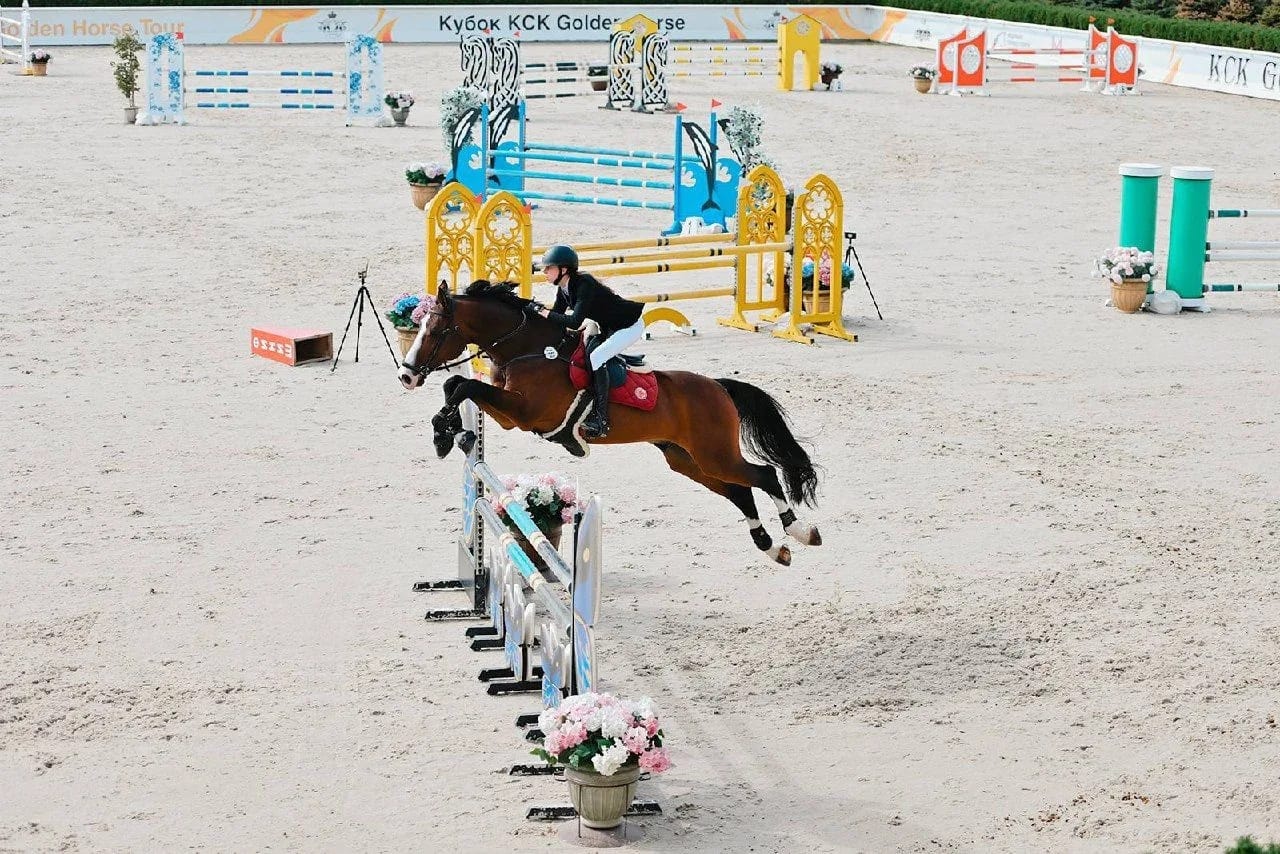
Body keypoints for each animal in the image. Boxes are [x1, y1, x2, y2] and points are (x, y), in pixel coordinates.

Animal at [398, 280, 823, 565]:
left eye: (435, 331)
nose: (407, 376)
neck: (526, 349)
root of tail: (719, 387)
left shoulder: (524, 412)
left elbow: (463, 384)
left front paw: (444, 434)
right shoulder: (508, 416)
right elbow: (457, 385)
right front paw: (446, 432)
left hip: (714, 454)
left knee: (764, 475)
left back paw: (800, 530)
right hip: (688, 460)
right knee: (740, 491)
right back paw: (772, 547)